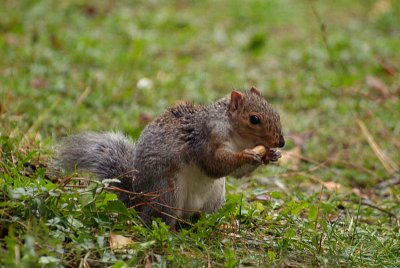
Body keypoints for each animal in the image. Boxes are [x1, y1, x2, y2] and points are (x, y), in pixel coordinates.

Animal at [55, 87, 284, 227]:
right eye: (254, 119)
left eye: (276, 112)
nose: (281, 142)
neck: (237, 137)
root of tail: (139, 203)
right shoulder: (204, 138)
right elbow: (213, 165)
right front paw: (248, 155)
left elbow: (237, 173)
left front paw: (271, 155)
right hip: (167, 193)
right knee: (163, 220)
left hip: (214, 197)